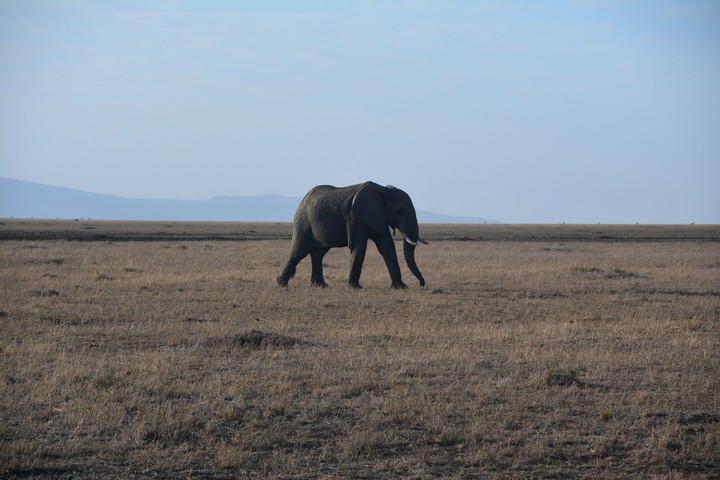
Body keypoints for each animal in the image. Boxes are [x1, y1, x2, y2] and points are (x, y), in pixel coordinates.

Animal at [276, 181, 427, 289]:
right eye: (400, 212)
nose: (421, 284)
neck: (383, 190)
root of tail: (303, 200)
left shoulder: (378, 217)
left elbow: (387, 247)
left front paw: (400, 287)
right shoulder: (354, 216)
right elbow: (358, 246)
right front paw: (355, 287)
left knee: (318, 254)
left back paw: (321, 286)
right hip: (303, 223)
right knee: (298, 252)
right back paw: (281, 284)